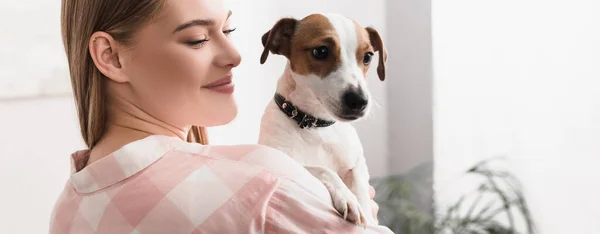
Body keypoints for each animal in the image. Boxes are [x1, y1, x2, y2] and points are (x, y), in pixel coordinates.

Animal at [255, 12, 386, 227]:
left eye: (368, 57)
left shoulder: (358, 164)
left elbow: (360, 187)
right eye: (321, 51)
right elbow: (324, 170)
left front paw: (364, 211)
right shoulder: (281, 160)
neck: (316, 126)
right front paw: (347, 198)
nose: (360, 101)